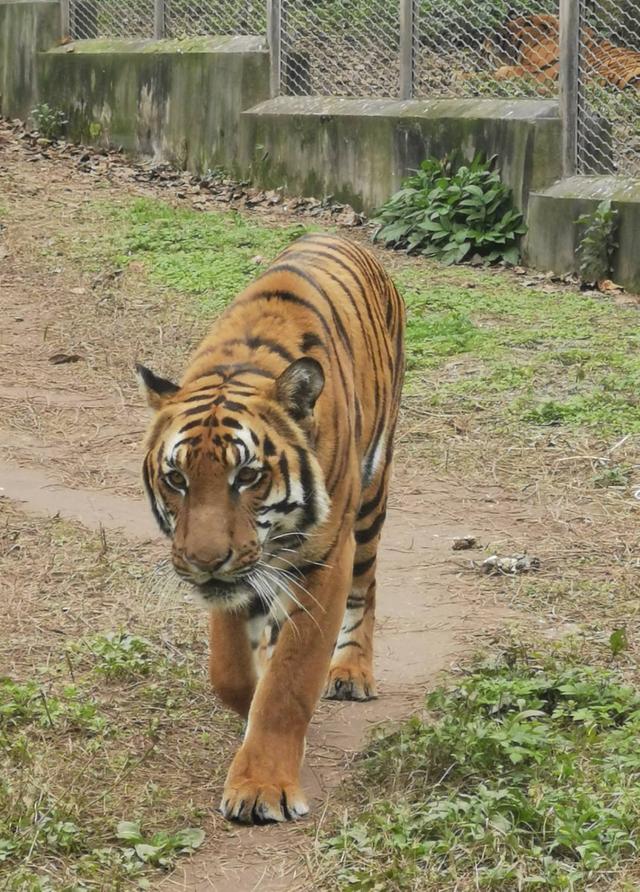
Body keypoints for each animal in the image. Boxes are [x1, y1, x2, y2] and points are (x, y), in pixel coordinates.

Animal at [136, 230, 404, 824]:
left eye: (248, 476)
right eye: (176, 478)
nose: (205, 562)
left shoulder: (323, 559)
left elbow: (290, 682)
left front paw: (262, 788)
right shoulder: (239, 580)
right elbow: (232, 671)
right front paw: (250, 695)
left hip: (371, 500)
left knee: (368, 587)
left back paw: (351, 672)